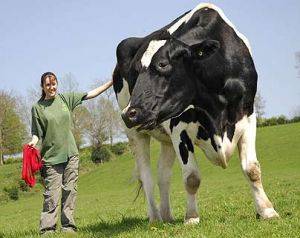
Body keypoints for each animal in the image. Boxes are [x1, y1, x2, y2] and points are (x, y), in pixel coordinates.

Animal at [112, 2, 278, 224]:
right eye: (135, 71)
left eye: (162, 64)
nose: (130, 113)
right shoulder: (178, 128)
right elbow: (191, 177)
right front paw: (191, 217)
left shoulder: (248, 116)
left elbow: (252, 169)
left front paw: (267, 210)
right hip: (136, 134)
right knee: (147, 176)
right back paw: (155, 218)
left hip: (165, 139)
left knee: (163, 174)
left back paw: (167, 217)